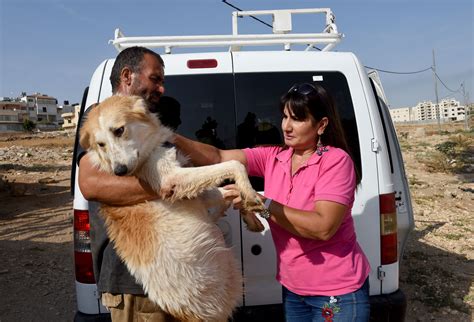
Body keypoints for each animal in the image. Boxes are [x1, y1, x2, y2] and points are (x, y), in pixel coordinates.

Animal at [80, 95, 266, 322]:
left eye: (119, 130)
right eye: (101, 144)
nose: (119, 172)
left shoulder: (196, 194)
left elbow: (232, 187)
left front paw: (251, 210)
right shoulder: (172, 180)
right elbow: (234, 164)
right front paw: (252, 197)